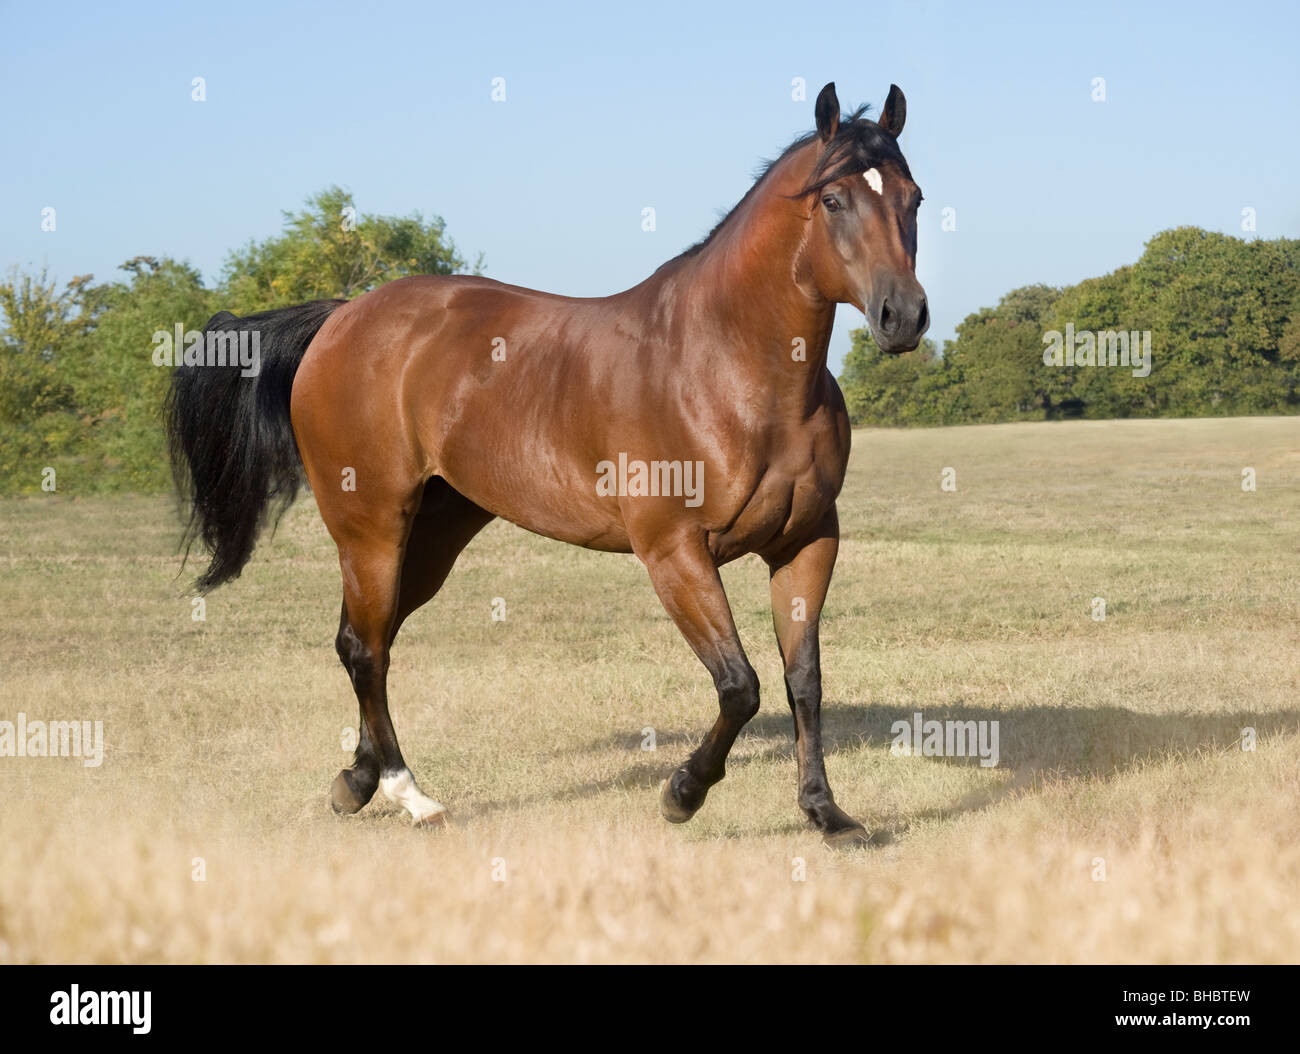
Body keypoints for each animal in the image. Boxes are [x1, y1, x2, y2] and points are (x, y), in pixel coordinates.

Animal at [166, 82, 928, 848]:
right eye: (832, 200)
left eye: (914, 198)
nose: (903, 316)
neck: (727, 370)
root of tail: (342, 317)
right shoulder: (675, 552)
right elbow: (740, 685)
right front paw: (682, 793)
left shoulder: (807, 542)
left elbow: (804, 680)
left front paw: (827, 813)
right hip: (370, 527)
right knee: (366, 649)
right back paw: (410, 795)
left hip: (432, 534)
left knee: (366, 638)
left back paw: (356, 781)